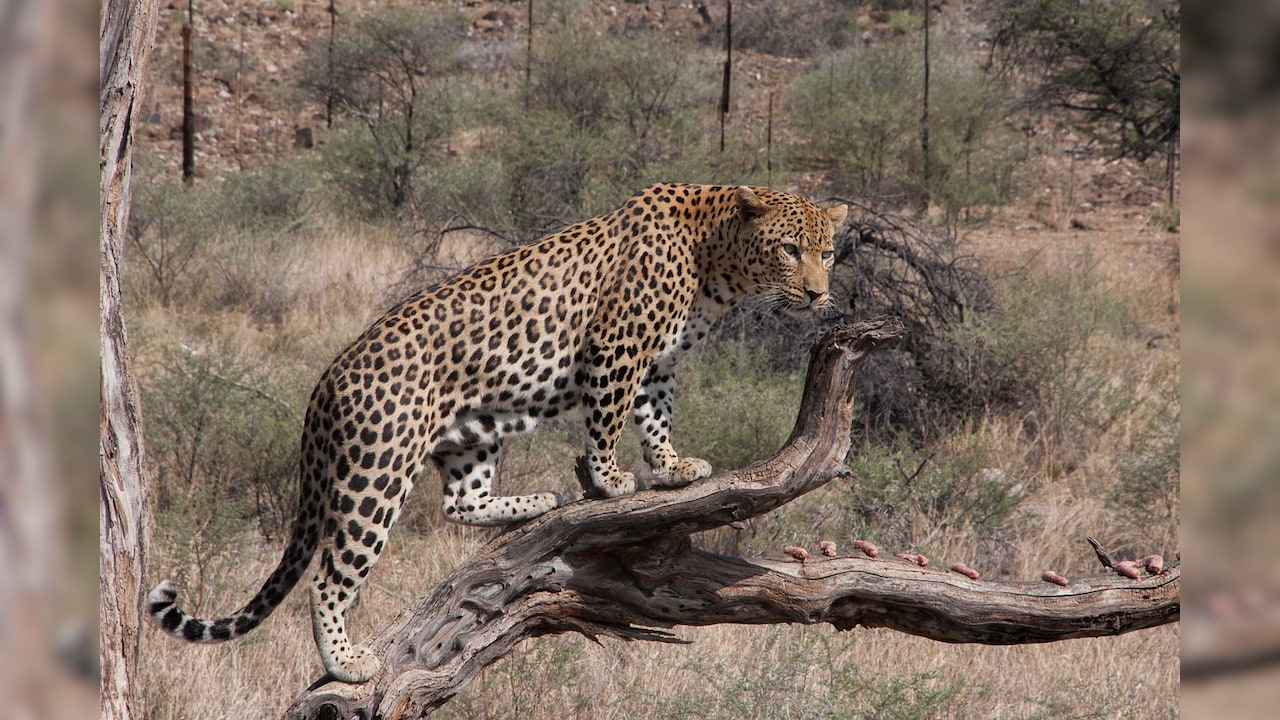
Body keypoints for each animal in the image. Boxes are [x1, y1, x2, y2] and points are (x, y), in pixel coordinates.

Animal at [148, 183, 848, 683]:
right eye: (790, 250)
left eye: (829, 252)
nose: (820, 295)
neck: (717, 263)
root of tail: (327, 379)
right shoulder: (616, 348)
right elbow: (607, 417)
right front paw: (609, 480)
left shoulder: (657, 364)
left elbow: (654, 417)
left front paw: (670, 467)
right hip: (376, 472)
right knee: (331, 576)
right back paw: (346, 663)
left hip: (473, 434)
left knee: (461, 503)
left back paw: (536, 502)